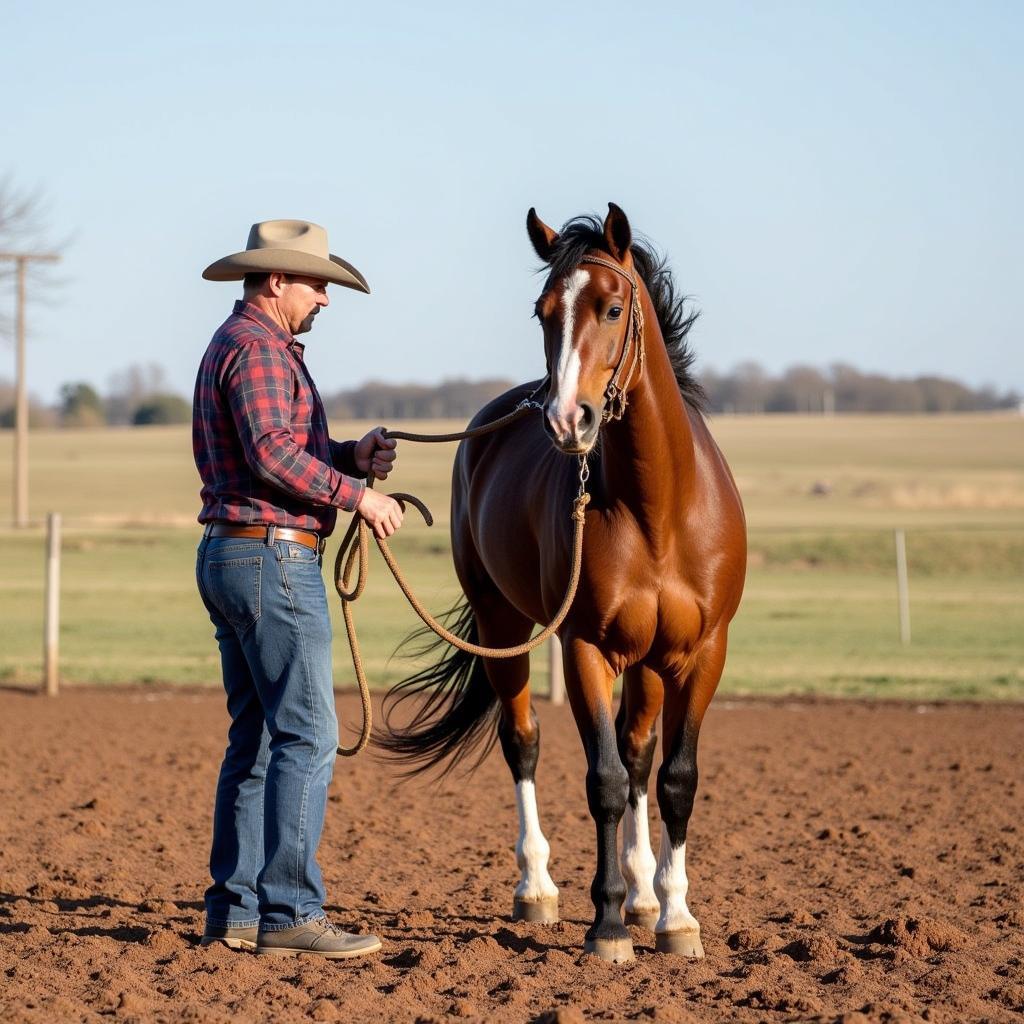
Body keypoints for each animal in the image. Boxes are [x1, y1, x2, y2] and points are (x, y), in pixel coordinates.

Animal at [380, 203, 749, 962]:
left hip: (648, 662)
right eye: (542, 311)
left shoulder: (700, 654)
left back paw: (644, 896)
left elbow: (673, 779)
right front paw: (606, 926)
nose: (565, 419)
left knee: (640, 754)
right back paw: (539, 888)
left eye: (612, 307)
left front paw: (674, 917)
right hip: (505, 625)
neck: (660, 509)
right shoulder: (585, 648)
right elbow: (602, 779)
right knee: (523, 741)